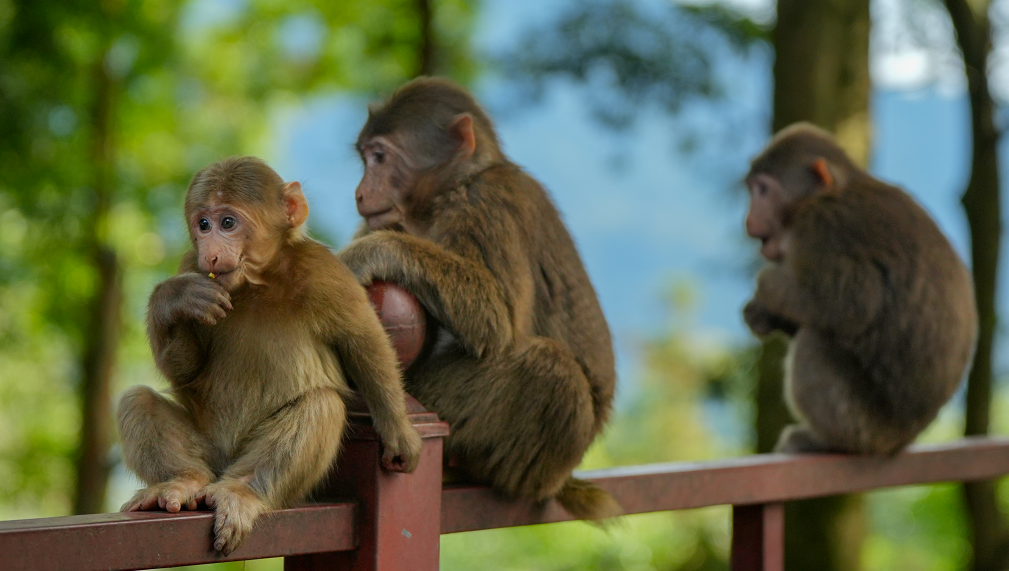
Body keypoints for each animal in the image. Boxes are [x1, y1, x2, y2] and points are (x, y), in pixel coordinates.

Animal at [118, 155, 421, 556]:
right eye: (203, 224)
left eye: (227, 223)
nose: (210, 251)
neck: (260, 281)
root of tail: (224, 468)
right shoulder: (192, 268)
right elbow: (185, 371)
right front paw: (174, 299)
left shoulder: (325, 272)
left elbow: (362, 340)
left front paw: (397, 430)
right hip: (209, 451)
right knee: (137, 400)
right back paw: (182, 481)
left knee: (321, 405)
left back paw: (244, 490)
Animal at [339, 77, 617, 524]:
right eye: (365, 158)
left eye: (380, 157)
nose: (361, 192)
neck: (452, 189)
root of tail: (559, 479)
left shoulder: (487, 203)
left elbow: (496, 316)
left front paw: (374, 252)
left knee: (553, 372)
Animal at [742, 124, 976, 455]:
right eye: (753, 190)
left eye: (763, 190)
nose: (749, 221)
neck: (836, 189)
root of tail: (900, 441)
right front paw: (764, 314)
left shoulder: (821, 225)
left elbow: (852, 304)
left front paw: (766, 287)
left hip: (863, 424)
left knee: (813, 343)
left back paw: (825, 441)